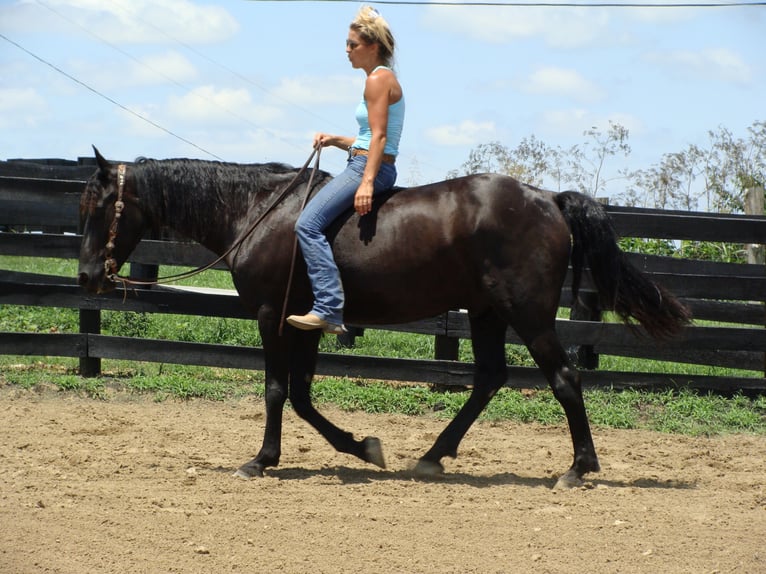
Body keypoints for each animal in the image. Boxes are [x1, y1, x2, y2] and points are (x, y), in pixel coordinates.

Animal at [76, 150, 688, 490]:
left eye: (99, 207)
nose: (85, 277)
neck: (259, 211)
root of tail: (549, 199)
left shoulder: (274, 315)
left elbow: (277, 390)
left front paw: (261, 460)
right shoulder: (305, 321)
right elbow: (301, 395)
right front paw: (364, 447)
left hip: (528, 314)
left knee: (565, 379)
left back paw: (578, 468)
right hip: (487, 312)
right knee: (489, 379)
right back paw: (433, 457)